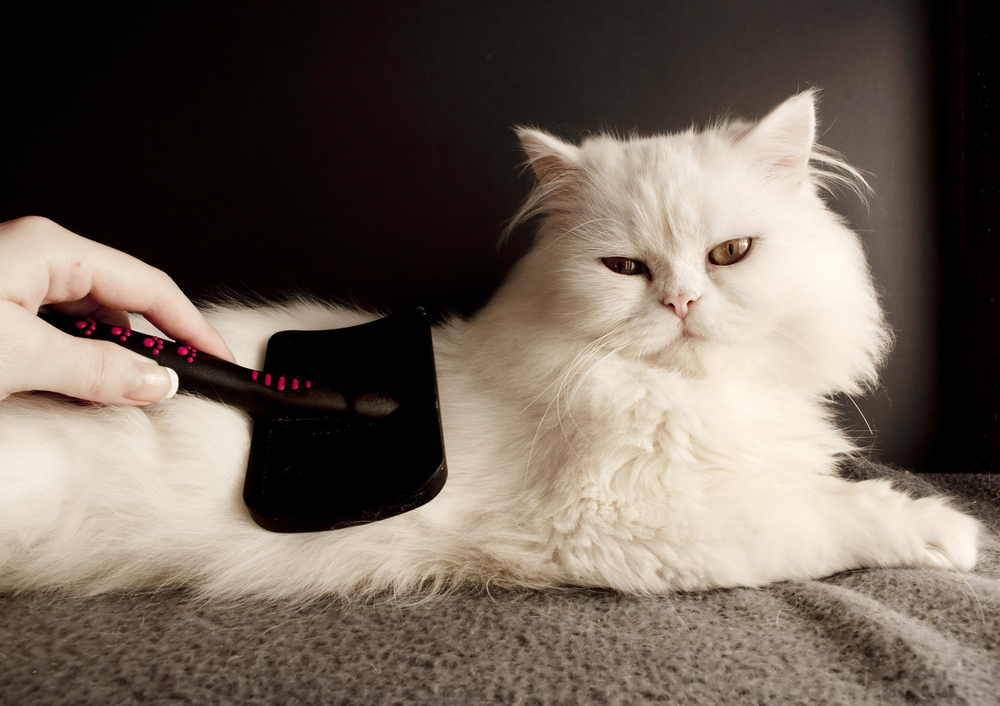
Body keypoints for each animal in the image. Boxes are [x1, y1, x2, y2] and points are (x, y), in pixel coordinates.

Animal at [0, 91, 976, 596]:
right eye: (627, 268)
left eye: (730, 255)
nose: (682, 302)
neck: (680, 395)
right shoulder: (636, 525)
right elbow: (830, 514)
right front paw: (954, 536)